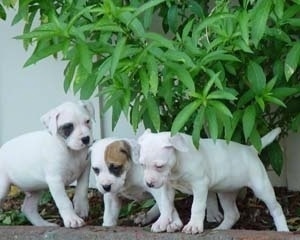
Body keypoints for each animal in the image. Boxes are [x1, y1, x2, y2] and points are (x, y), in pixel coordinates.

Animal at [0, 100, 94, 228]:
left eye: (87, 121)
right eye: (68, 126)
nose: (86, 139)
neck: (70, 151)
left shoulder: (85, 169)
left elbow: (82, 189)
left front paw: (81, 207)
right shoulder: (56, 181)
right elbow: (64, 202)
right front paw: (72, 219)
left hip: (35, 188)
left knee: (28, 209)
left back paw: (44, 224)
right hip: (3, 186)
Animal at [138, 128, 288, 233]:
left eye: (159, 166)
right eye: (142, 165)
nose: (149, 184)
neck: (178, 163)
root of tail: (250, 149)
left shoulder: (199, 185)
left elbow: (196, 206)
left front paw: (193, 226)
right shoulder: (167, 187)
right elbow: (165, 205)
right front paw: (161, 223)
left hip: (262, 188)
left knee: (276, 208)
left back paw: (283, 230)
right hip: (225, 193)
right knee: (233, 214)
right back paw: (220, 229)